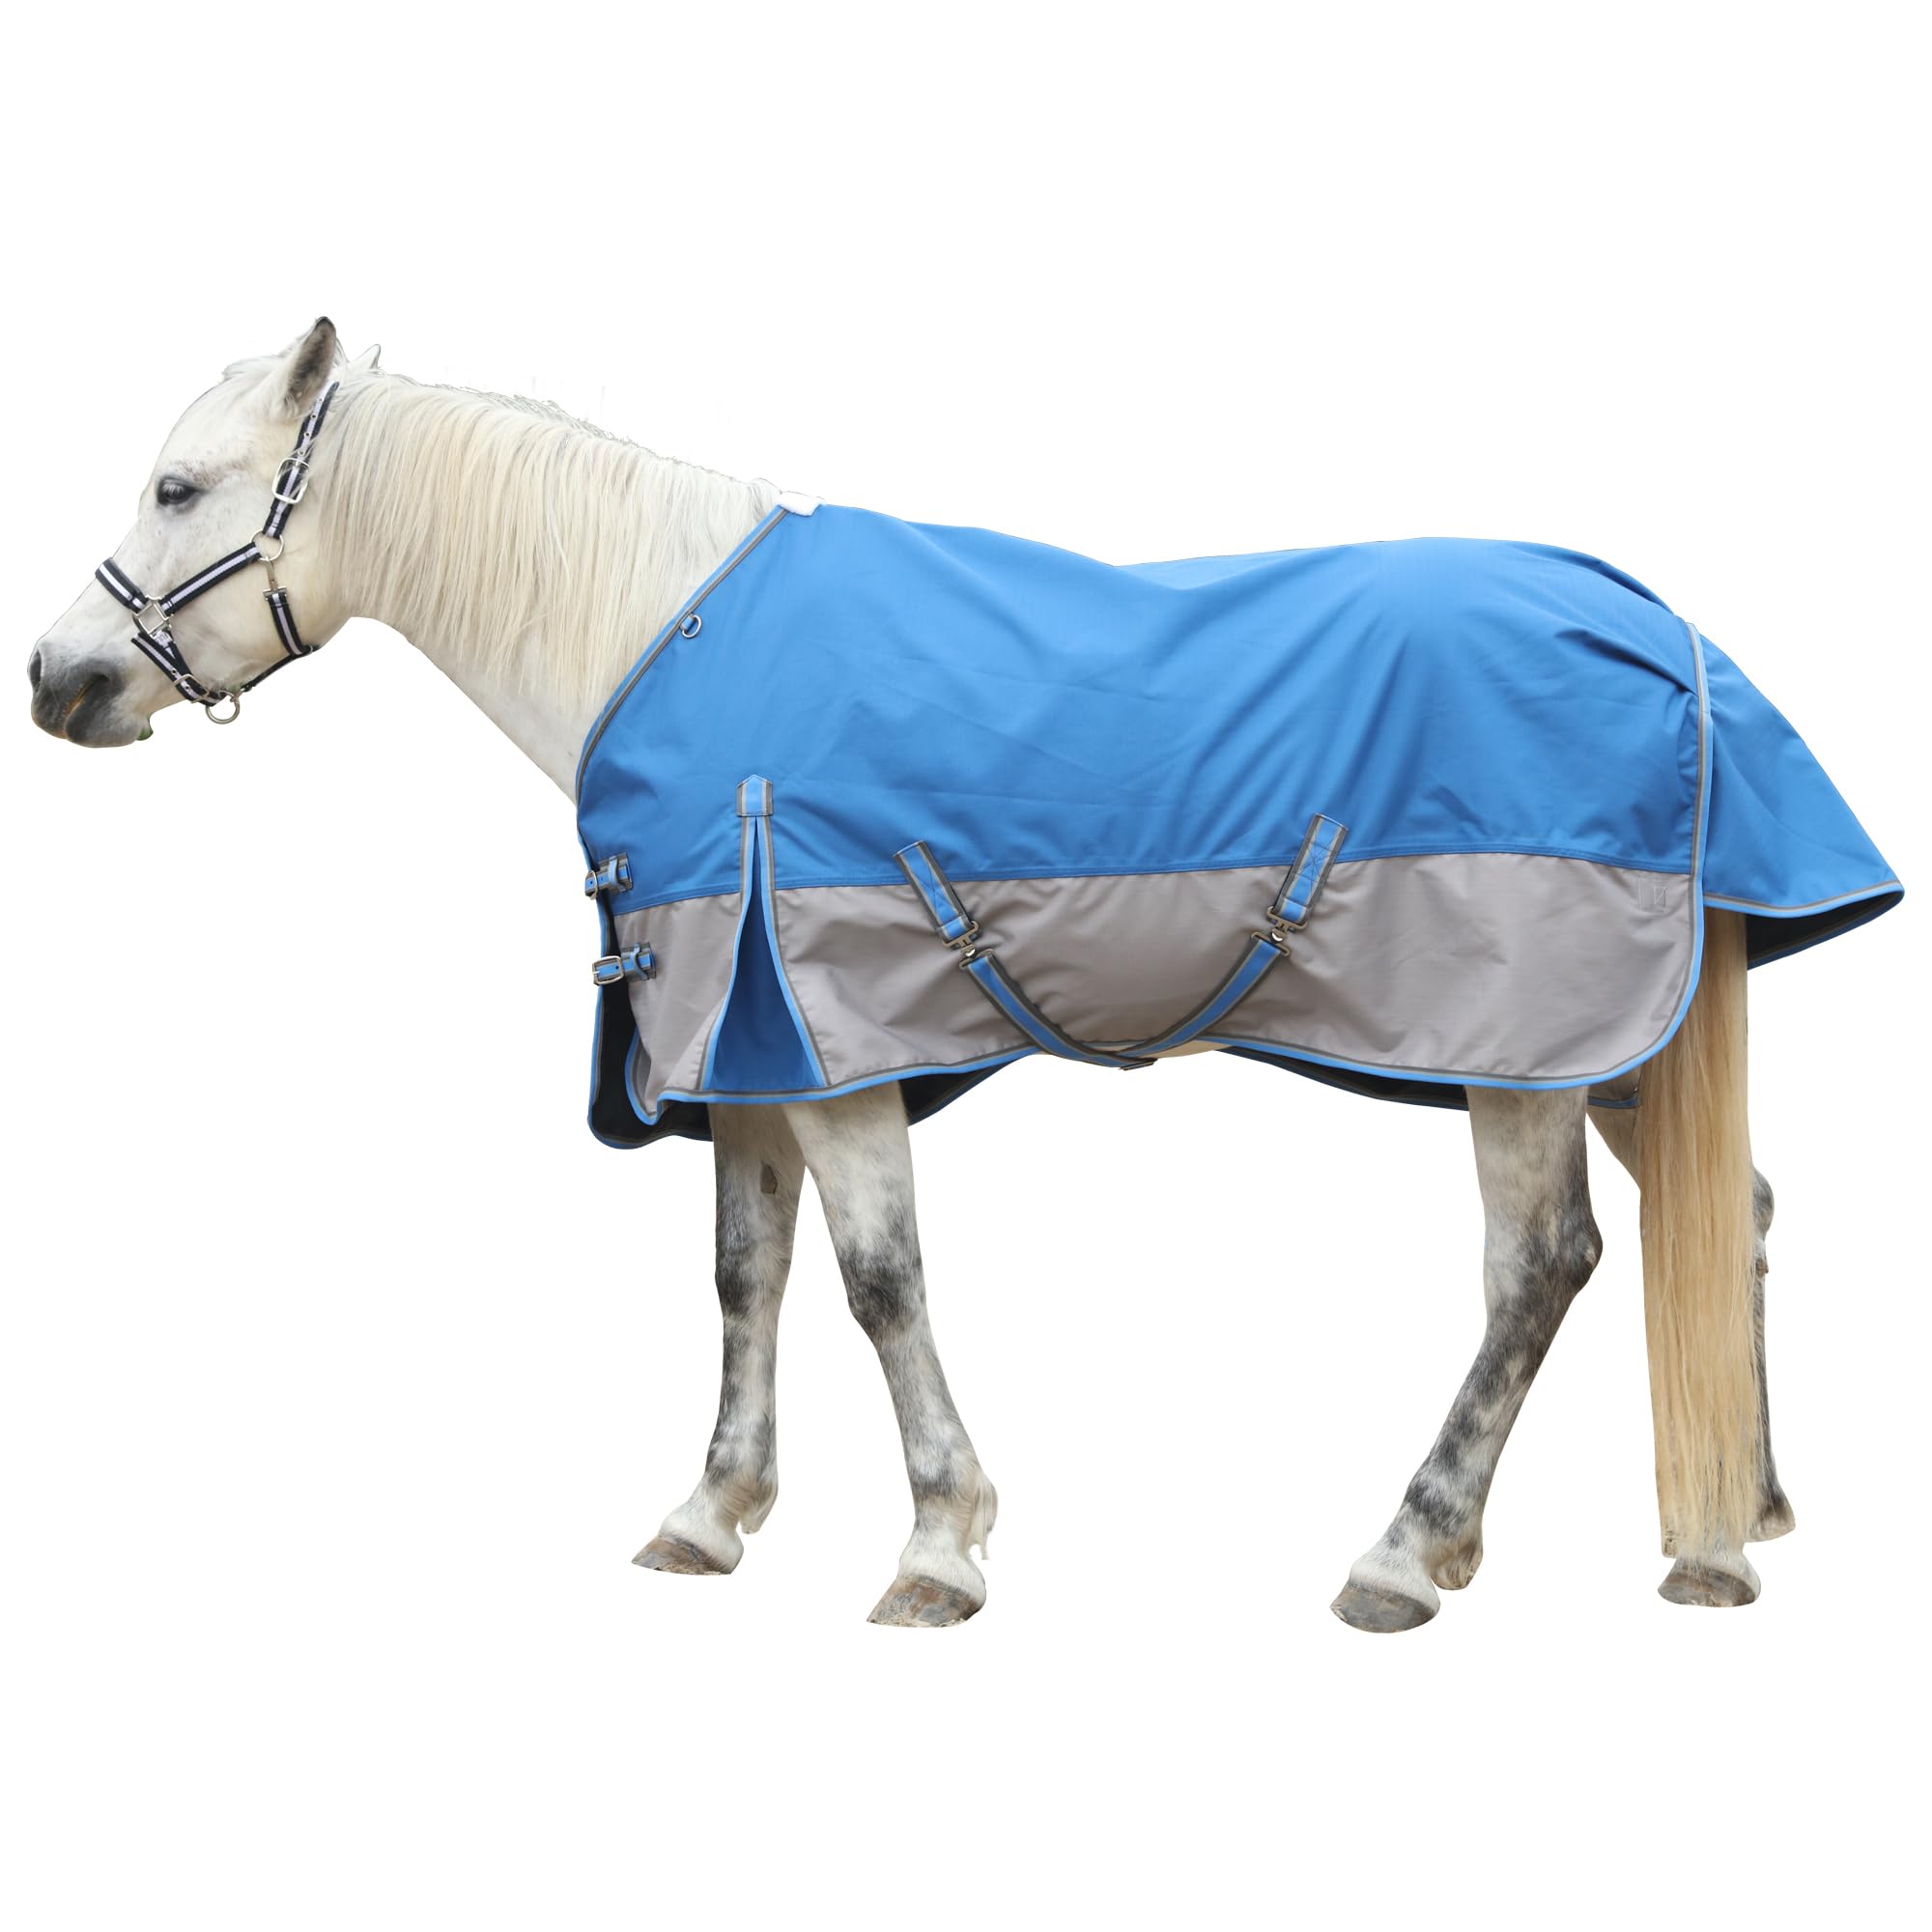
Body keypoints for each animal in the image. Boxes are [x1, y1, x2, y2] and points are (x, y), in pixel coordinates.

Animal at [29, 318, 1897, 1631]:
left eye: (181, 488)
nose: (57, 680)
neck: (657, 631)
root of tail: (1667, 634)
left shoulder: (831, 1046)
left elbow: (879, 1286)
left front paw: (939, 1546)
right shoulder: (751, 1052)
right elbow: (746, 1280)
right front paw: (711, 1516)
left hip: (1522, 1052)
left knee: (1542, 1267)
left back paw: (1406, 1550)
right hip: (1627, 1039)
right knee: (1728, 1212)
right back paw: (1733, 1535)